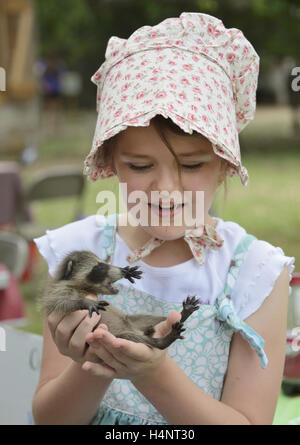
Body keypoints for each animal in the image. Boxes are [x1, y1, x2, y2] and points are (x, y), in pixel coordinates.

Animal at [39, 251, 199, 348]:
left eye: (103, 262)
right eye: (100, 267)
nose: (120, 270)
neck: (84, 287)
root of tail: (135, 329)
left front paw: (126, 271)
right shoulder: (58, 290)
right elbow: (61, 303)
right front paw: (85, 302)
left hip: (134, 321)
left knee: (152, 318)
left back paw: (182, 314)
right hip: (121, 335)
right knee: (134, 338)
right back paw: (161, 341)